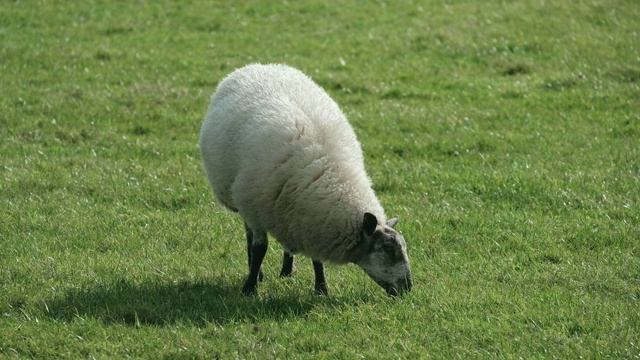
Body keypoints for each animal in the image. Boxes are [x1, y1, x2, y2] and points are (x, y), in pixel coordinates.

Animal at [198, 64, 412, 296]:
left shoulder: (310, 220)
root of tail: (260, 66)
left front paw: (321, 287)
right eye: (388, 249)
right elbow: (259, 248)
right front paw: (250, 287)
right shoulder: (256, 210)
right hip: (245, 201)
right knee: (249, 236)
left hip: (284, 212)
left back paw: (287, 271)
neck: (330, 177)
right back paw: (259, 273)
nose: (408, 287)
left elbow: (316, 258)